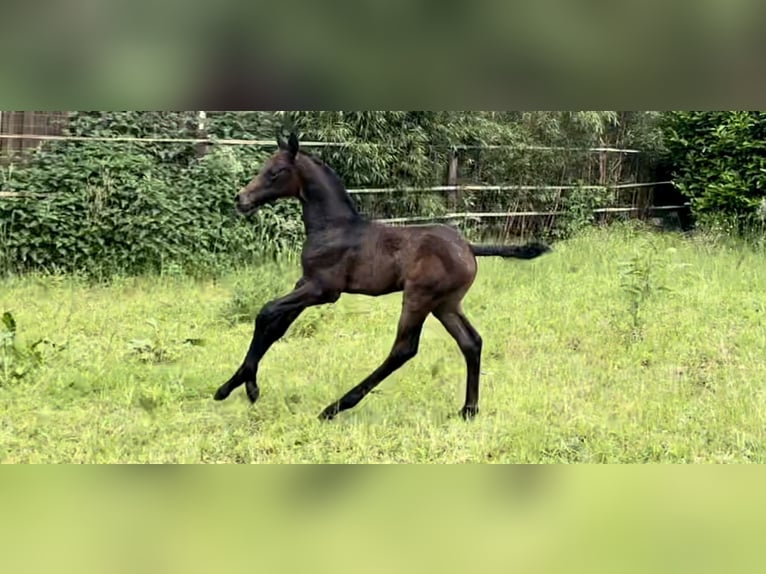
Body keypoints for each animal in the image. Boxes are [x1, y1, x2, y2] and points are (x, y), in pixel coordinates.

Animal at [214, 133, 552, 420]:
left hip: (418, 298)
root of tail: (469, 247)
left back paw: (335, 407)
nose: (241, 199)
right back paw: (469, 409)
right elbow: (277, 325)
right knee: (471, 342)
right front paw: (232, 385)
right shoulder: (305, 284)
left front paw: (247, 386)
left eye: (277, 171)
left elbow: (266, 311)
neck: (333, 227)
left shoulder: (323, 290)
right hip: (445, 304)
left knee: (404, 349)